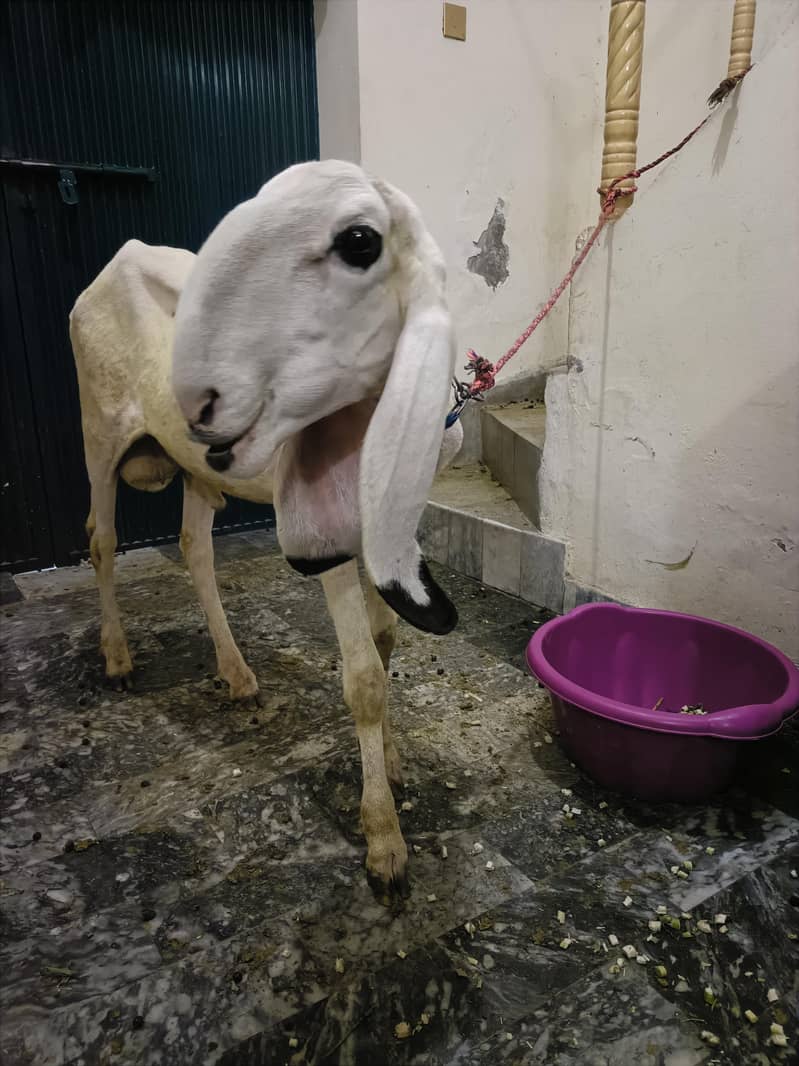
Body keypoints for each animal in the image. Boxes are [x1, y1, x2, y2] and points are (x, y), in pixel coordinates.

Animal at [69, 160, 463, 901]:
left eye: (361, 242)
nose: (204, 400)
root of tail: (116, 260)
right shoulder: (326, 535)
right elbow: (364, 677)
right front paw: (383, 839)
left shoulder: (394, 521)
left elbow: (386, 640)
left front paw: (393, 762)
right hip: (99, 428)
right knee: (101, 540)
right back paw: (118, 657)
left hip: (192, 470)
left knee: (194, 547)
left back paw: (235, 671)